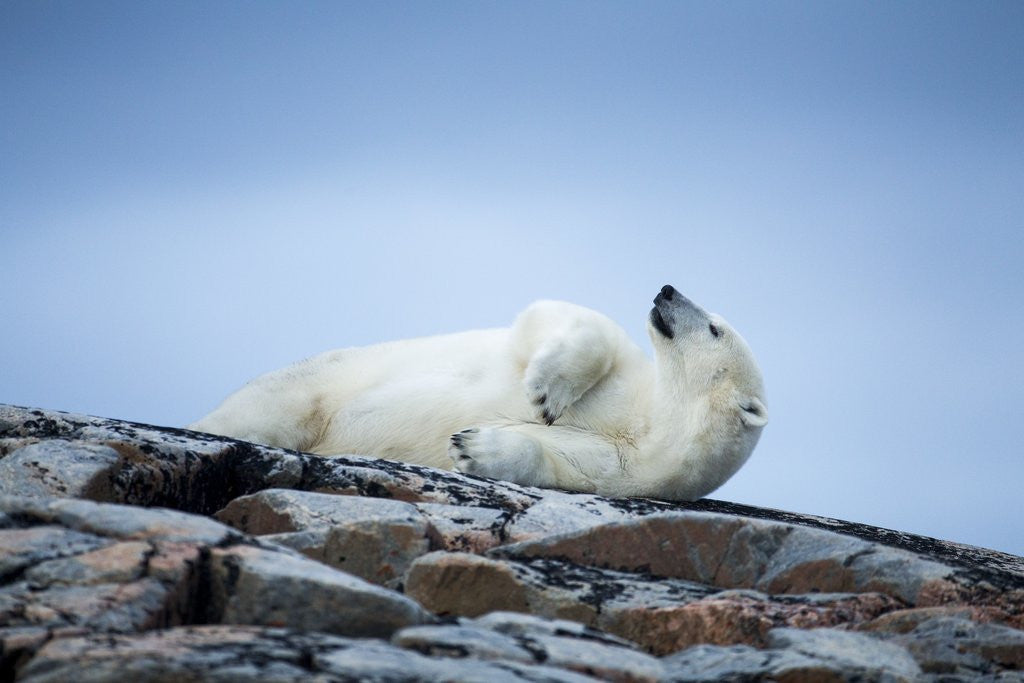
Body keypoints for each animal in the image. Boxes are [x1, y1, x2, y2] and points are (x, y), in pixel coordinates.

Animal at [188, 285, 767, 501]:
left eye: (714, 327)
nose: (667, 290)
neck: (649, 421)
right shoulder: (631, 376)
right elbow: (571, 320)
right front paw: (546, 391)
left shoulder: (626, 470)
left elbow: (556, 462)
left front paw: (473, 447)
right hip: (324, 379)